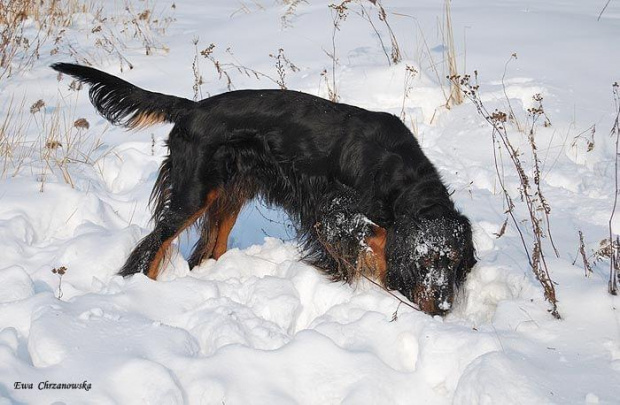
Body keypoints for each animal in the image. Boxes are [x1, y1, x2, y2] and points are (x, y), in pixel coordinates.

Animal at [52, 64, 474, 316]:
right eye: (424, 262)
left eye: (453, 261)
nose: (443, 307)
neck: (402, 177)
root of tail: (191, 108)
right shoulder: (335, 211)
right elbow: (378, 243)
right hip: (194, 190)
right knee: (153, 245)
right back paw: (140, 295)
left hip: (231, 190)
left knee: (210, 247)